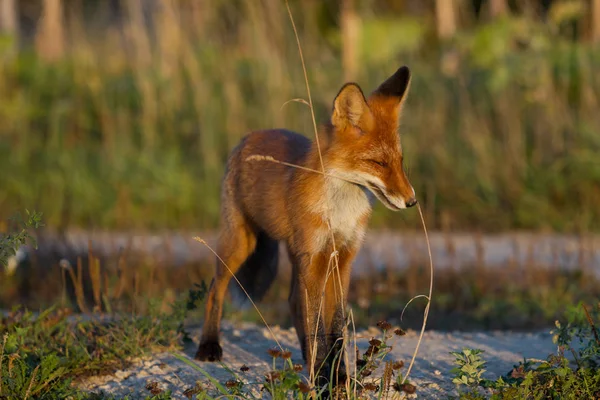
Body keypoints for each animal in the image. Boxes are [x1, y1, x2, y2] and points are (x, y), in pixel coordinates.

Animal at [195, 65, 414, 384]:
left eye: (399, 161)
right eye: (378, 163)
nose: (412, 201)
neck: (340, 210)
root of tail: (249, 136)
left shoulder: (342, 258)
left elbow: (336, 327)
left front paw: (338, 377)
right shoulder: (315, 256)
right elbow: (319, 329)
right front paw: (324, 378)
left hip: (293, 253)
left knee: (293, 302)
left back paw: (305, 357)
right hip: (241, 242)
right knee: (215, 289)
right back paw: (209, 345)